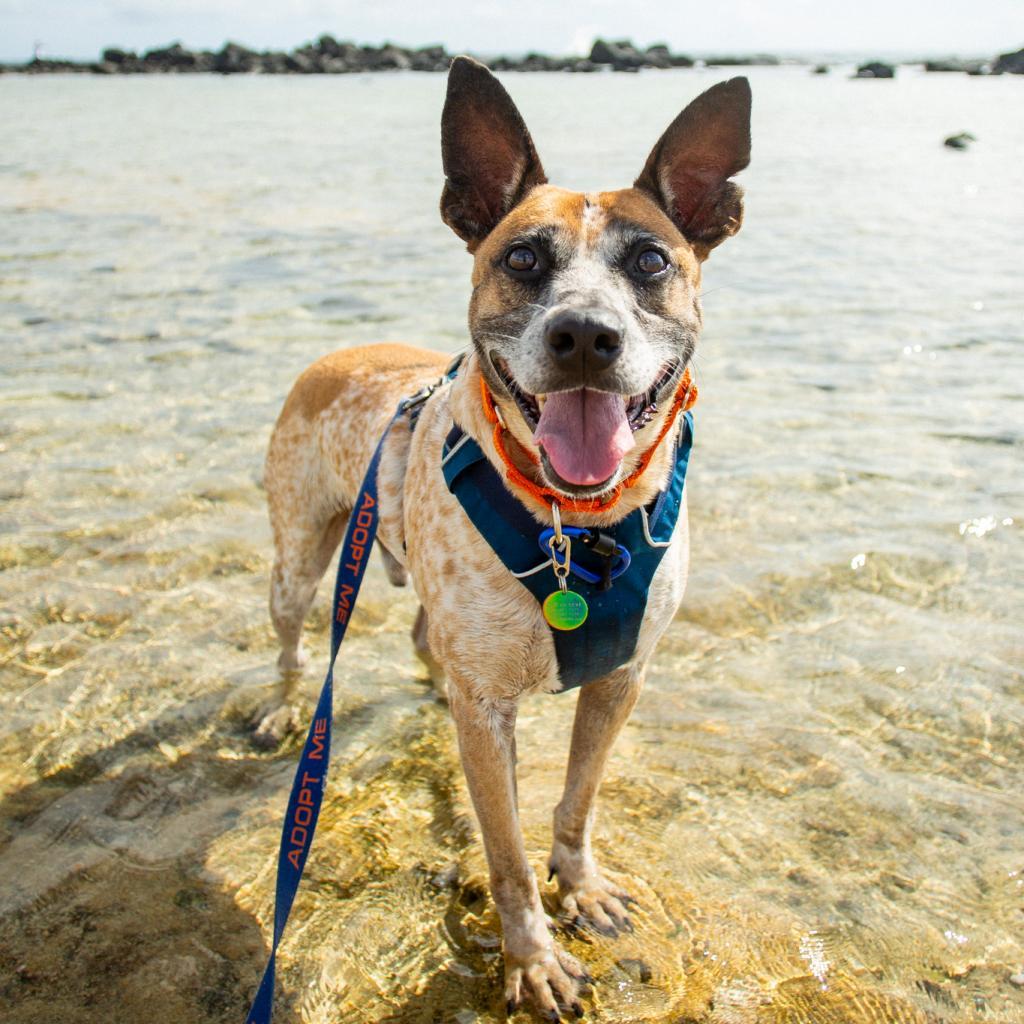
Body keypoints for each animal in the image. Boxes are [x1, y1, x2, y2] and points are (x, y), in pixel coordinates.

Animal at [260, 59, 749, 1019]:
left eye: (651, 260)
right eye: (522, 258)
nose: (586, 335)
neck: (580, 529)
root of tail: (337, 355)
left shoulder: (623, 679)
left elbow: (577, 804)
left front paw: (583, 887)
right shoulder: (488, 716)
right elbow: (509, 858)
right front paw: (531, 959)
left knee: (424, 638)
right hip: (297, 558)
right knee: (297, 641)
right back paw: (286, 706)